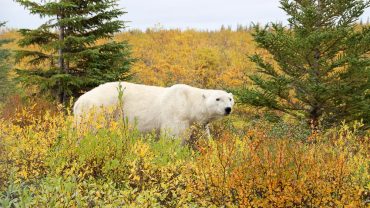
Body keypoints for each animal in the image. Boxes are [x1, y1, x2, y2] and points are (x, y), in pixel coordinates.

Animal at [73, 82, 234, 141]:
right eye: (218, 99)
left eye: (230, 99)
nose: (228, 109)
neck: (189, 103)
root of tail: (78, 101)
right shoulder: (176, 114)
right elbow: (172, 138)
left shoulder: (197, 123)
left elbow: (203, 138)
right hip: (98, 111)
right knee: (89, 131)